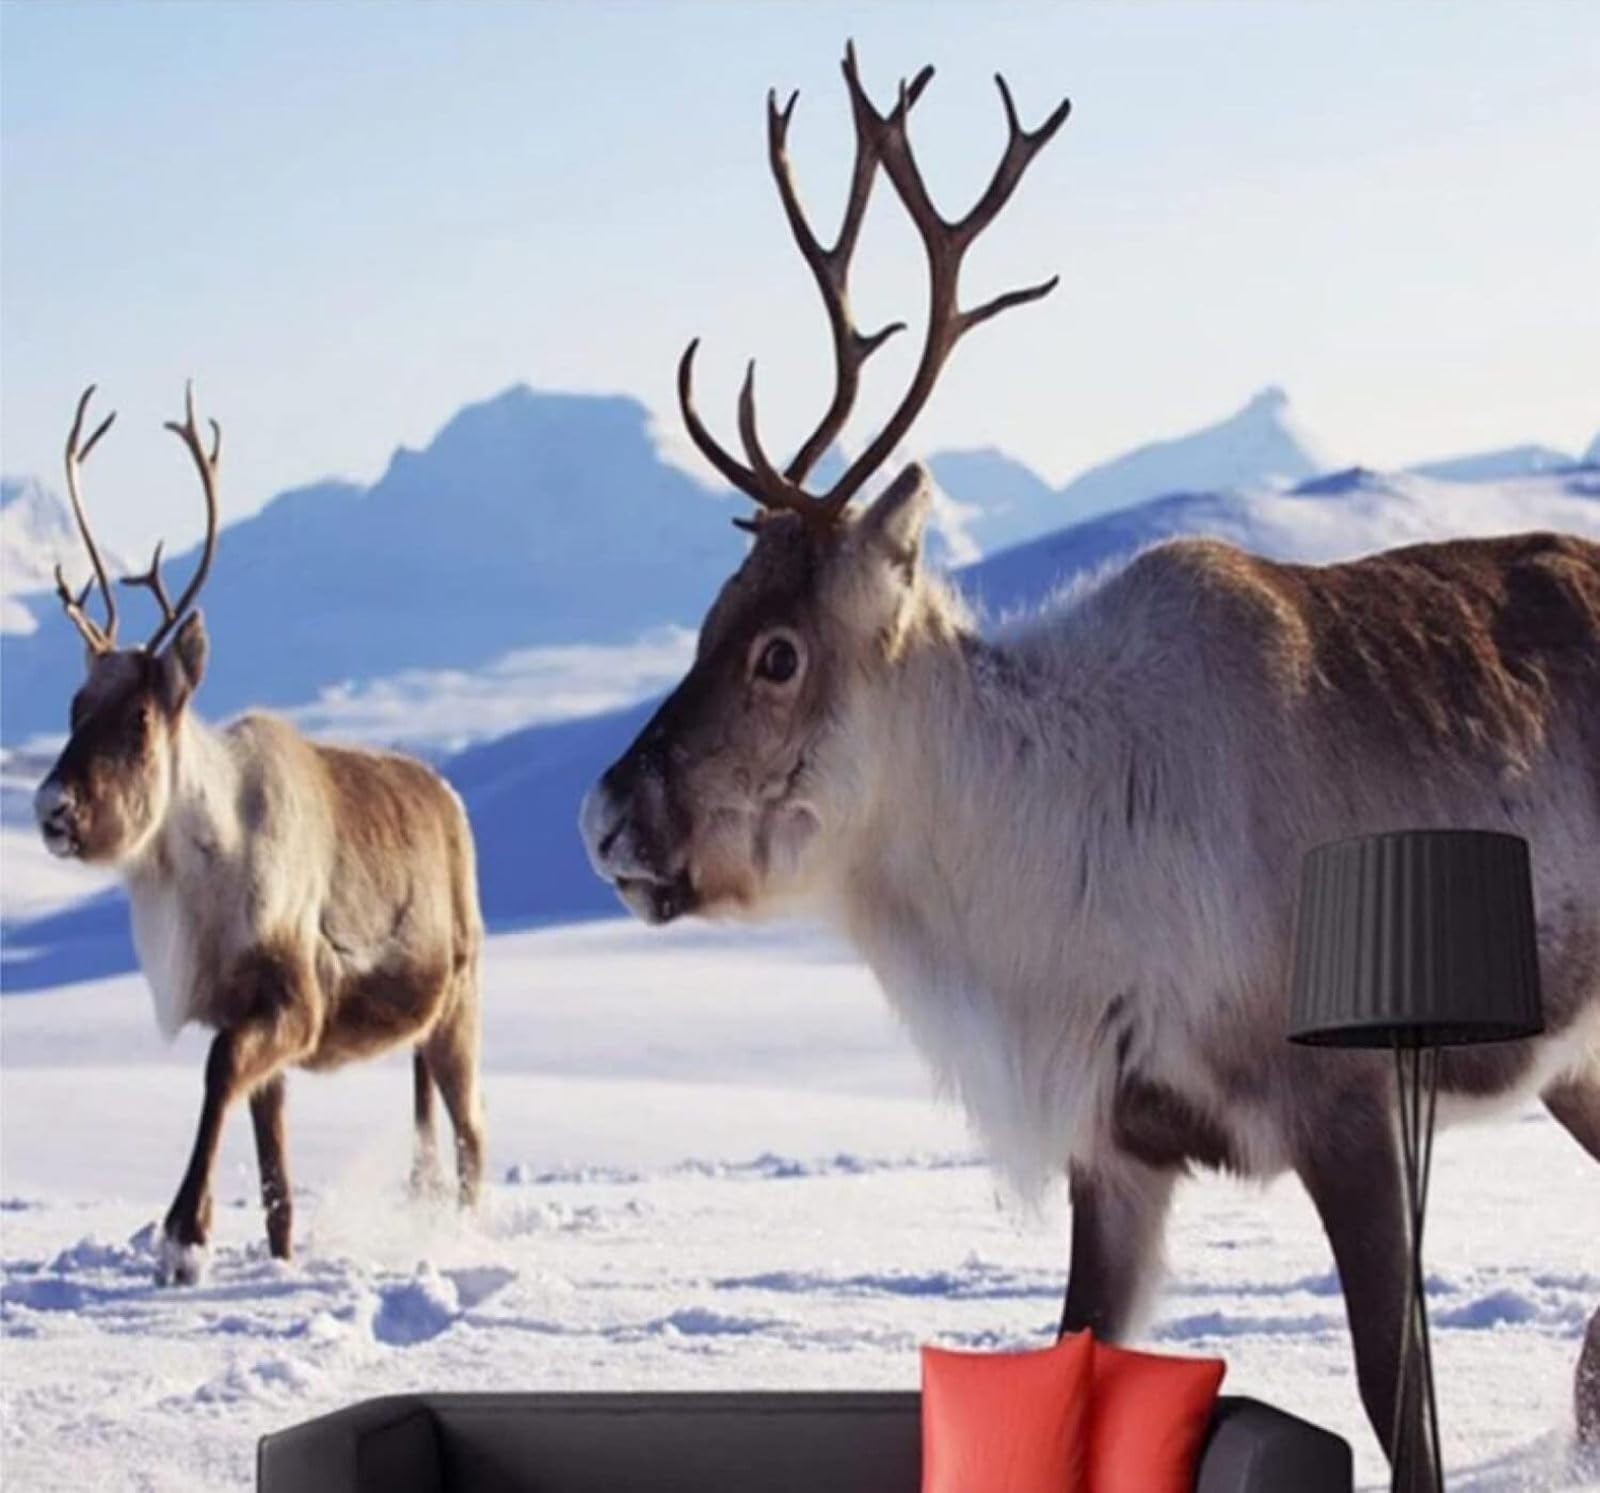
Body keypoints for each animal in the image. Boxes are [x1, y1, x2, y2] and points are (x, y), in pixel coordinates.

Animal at [33, 384, 486, 1286]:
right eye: (73, 706)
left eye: (140, 716)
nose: (52, 808)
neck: (200, 877)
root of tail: (450, 800)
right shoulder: (244, 1015)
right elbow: (275, 1175)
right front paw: (269, 1258)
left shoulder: (294, 1001)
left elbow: (215, 1077)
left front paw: (183, 1238)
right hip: (429, 1025)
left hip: (460, 1000)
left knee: (472, 1140)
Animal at [581, 46, 1600, 1473]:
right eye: (706, 617)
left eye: (776, 652)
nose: (604, 814)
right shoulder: (1118, 1150)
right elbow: (1074, 1343)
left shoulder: (1345, 1108)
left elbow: (1399, 1407)